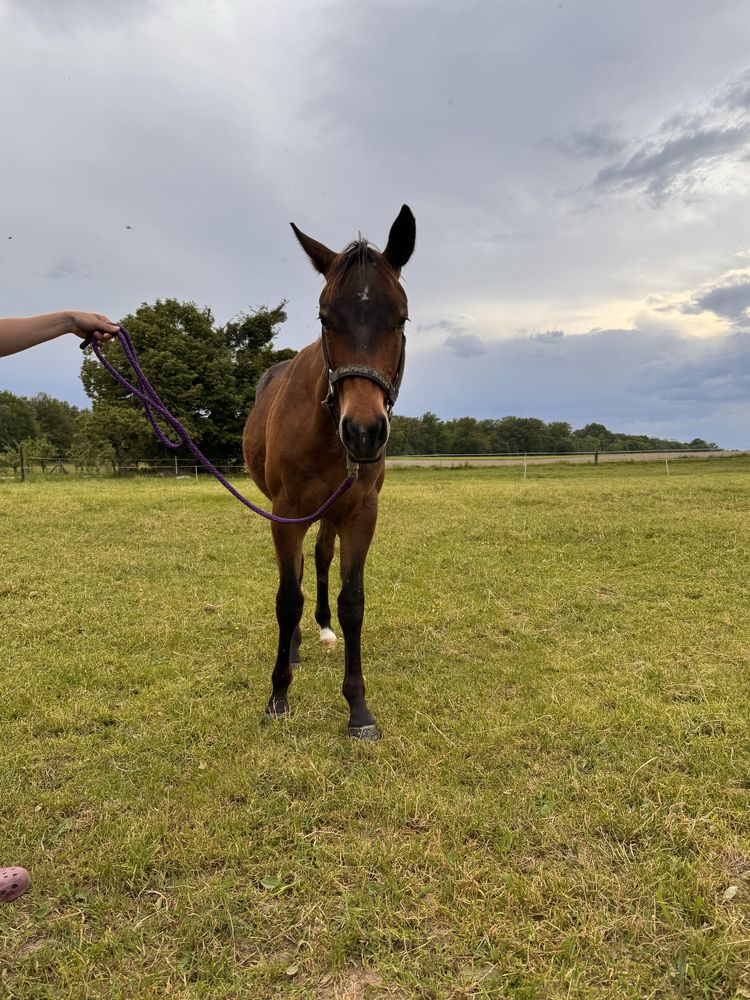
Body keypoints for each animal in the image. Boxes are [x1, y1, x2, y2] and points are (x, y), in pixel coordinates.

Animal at [242, 203, 414, 740]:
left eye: (400, 317)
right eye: (324, 317)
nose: (363, 431)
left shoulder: (360, 512)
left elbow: (352, 600)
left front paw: (358, 708)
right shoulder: (285, 512)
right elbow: (286, 597)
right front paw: (278, 695)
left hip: (332, 512)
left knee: (319, 560)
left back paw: (320, 630)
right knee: (298, 572)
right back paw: (297, 645)